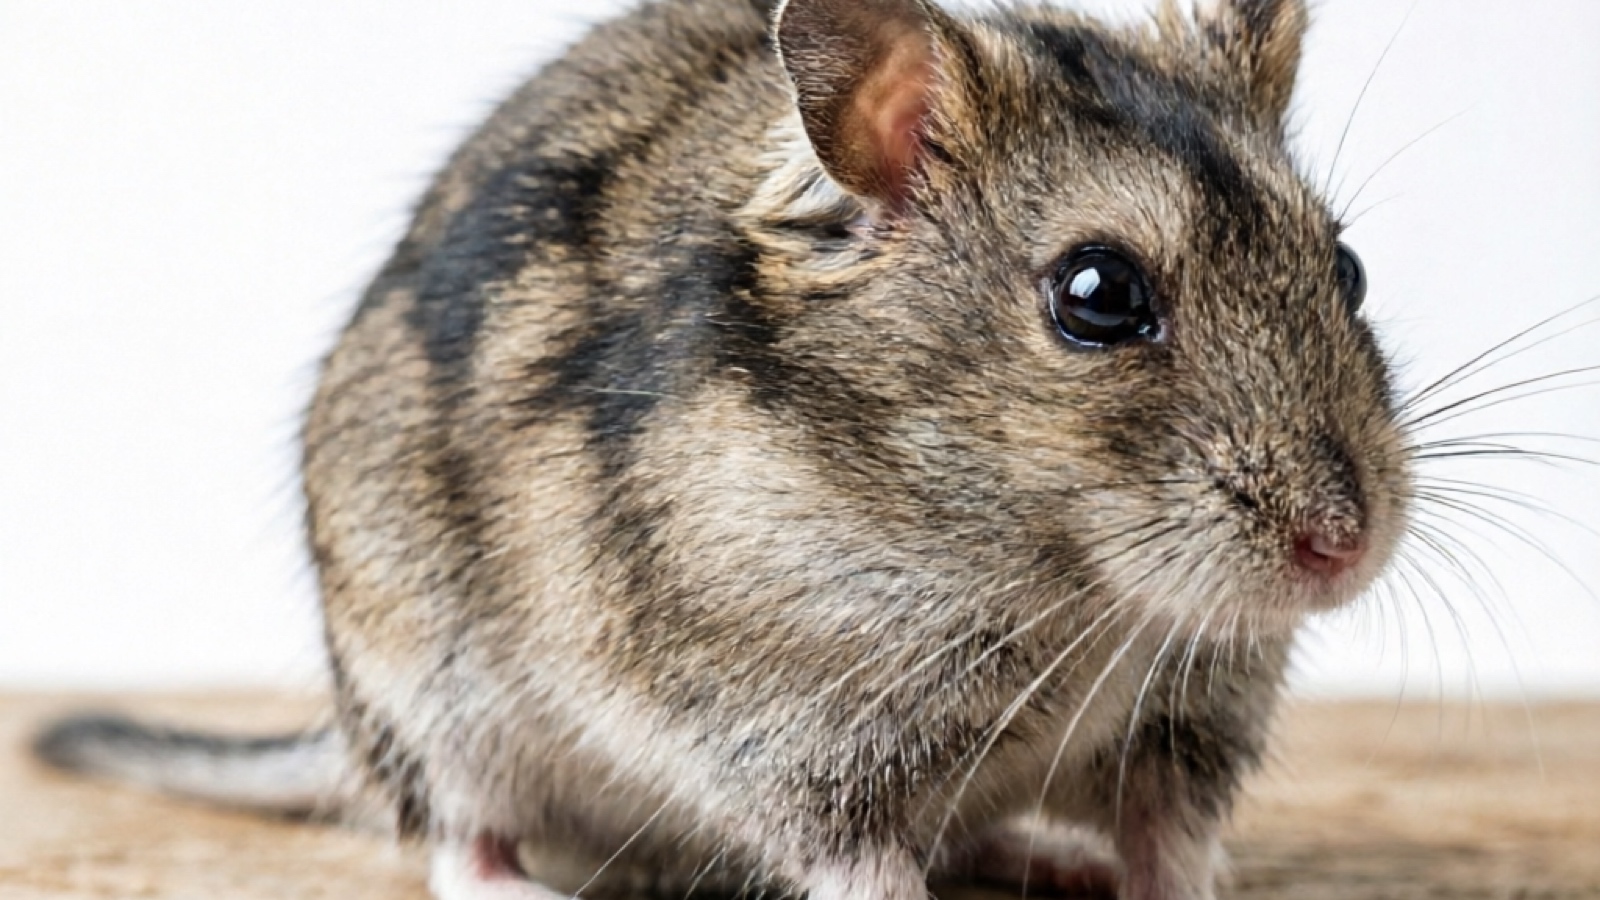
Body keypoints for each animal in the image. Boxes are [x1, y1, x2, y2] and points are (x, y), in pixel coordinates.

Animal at [35, 1, 1411, 898]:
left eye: (1346, 268)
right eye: (1097, 295)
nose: (1342, 552)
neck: (1079, 589)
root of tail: (345, 726)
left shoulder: (1192, 722)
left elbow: (1169, 850)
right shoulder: (803, 740)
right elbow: (862, 871)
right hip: (433, 696)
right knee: (456, 841)